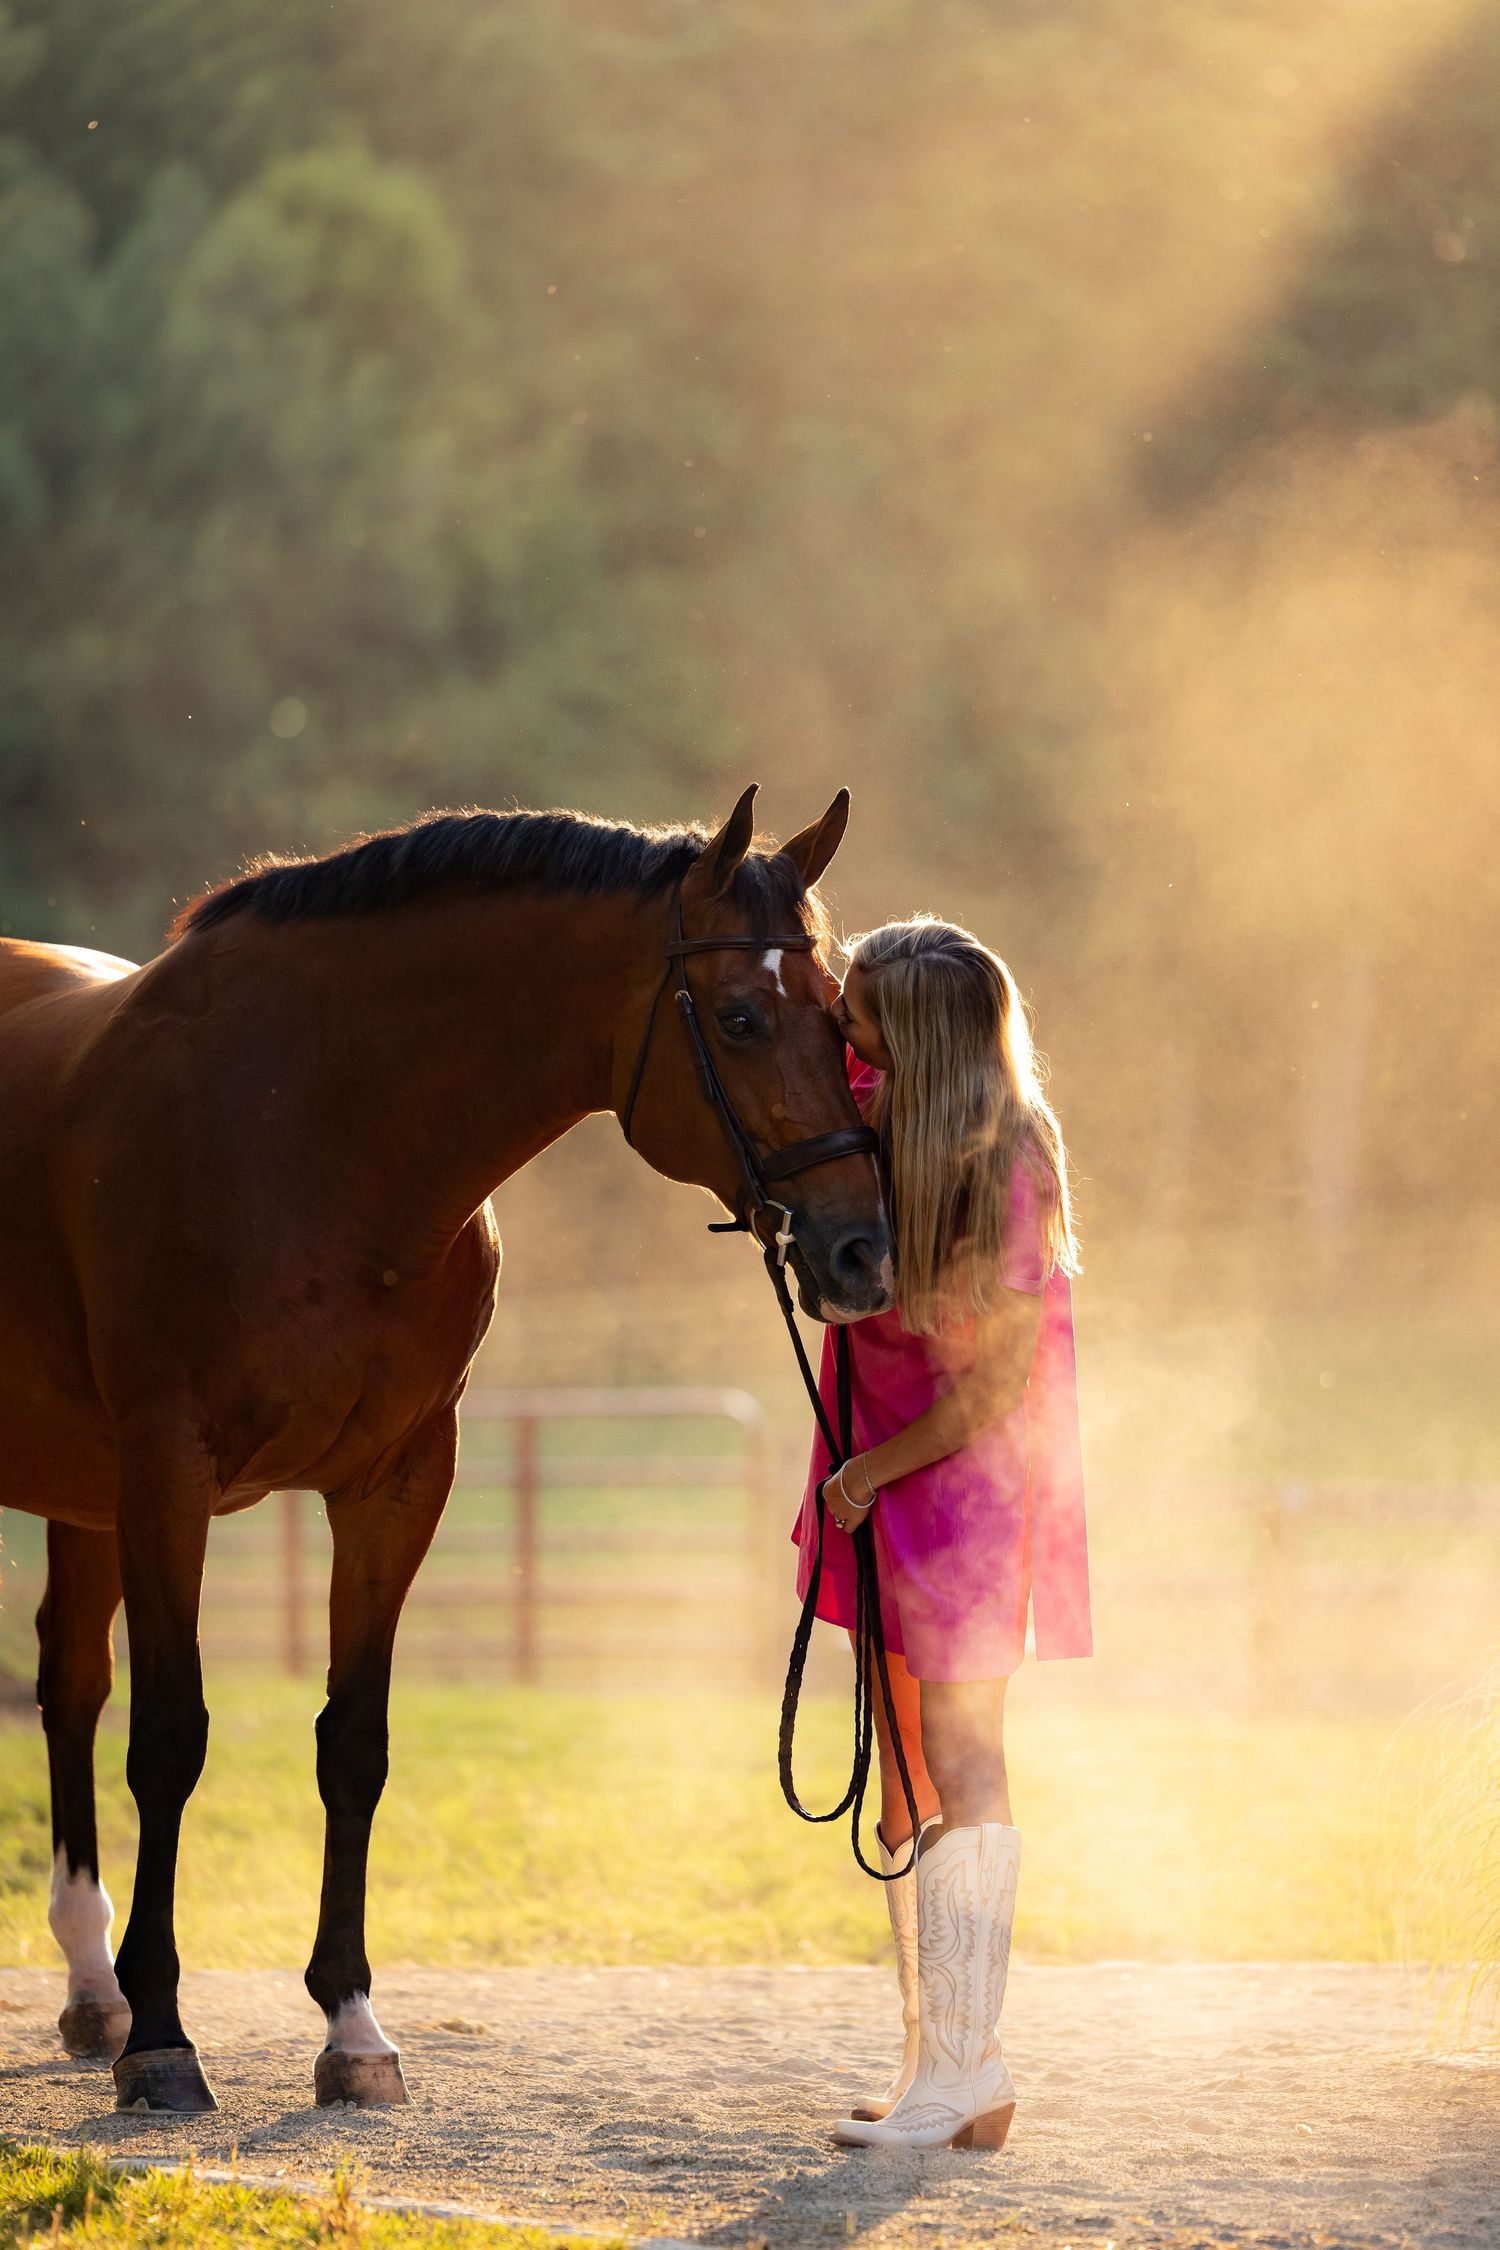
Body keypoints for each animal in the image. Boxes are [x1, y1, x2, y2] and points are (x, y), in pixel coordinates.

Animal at [0, 783, 893, 2115]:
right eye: (738, 1018)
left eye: (838, 1015)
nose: (860, 1252)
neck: (310, 1127)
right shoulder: (167, 1469)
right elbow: (170, 1738)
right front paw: (164, 2039)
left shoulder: (398, 1482)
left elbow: (353, 1745)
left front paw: (351, 2030)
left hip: (84, 1494)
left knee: (67, 1681)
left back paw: (92, 1990)